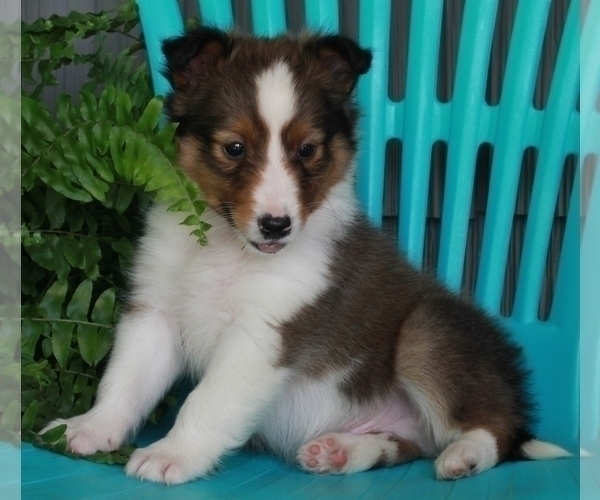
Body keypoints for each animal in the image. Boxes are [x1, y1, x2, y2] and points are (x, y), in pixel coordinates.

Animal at [43, 28, 572, 484]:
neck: (225, 246)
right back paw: (342, 450)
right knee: (413, 442)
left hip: (429, 332)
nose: (276, 225)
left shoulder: (264, 333)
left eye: (307, 149)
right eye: (234, 148)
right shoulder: (154, 312)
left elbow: (207, 400)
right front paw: (89, 427)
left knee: (494, 428)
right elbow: (125, 380)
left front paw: (172, 454)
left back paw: (464, 455)